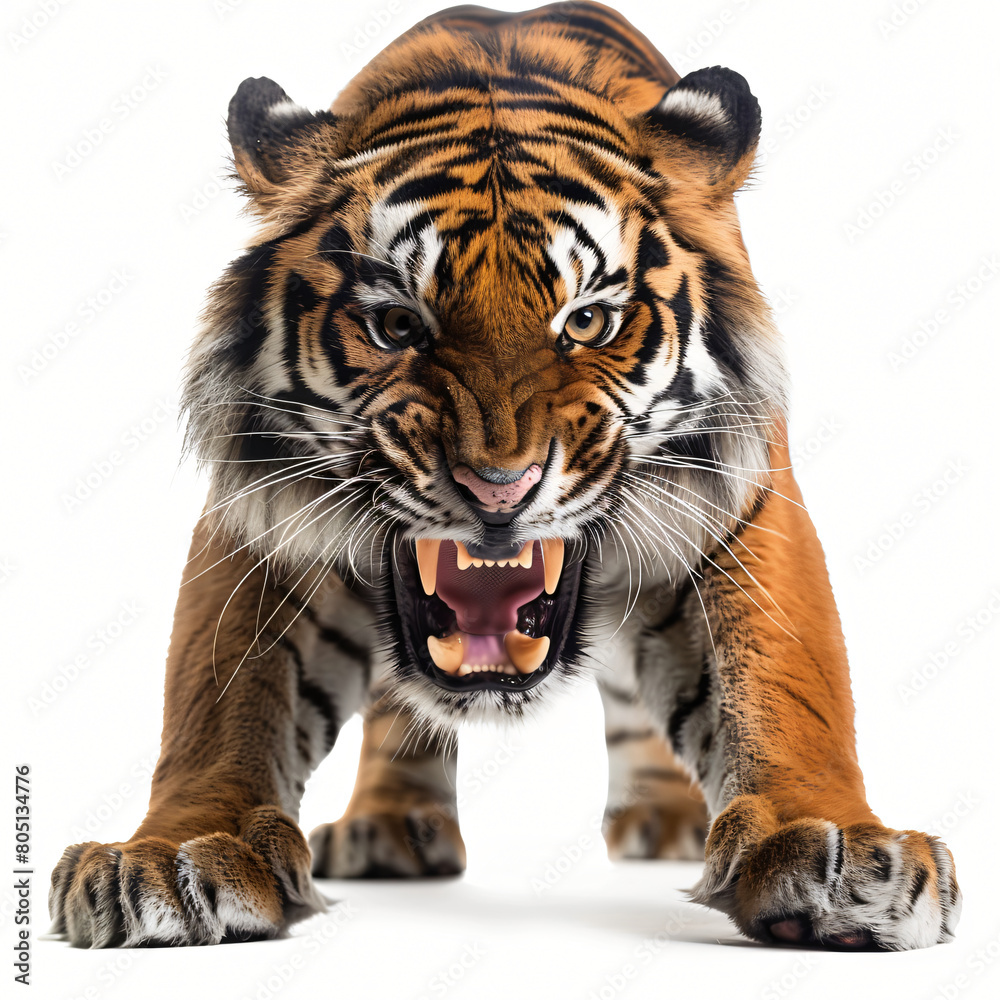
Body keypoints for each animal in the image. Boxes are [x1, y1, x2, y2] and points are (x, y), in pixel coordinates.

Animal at [49, 1, 961, 951]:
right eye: (396, 325)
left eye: (588, 322)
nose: (498, 488)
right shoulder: (266, 514)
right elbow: (219, 692)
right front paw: (177, 854)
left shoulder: (740, 504)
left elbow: (785, 680)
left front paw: (837, 850)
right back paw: (390, 829)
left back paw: (667, 822)